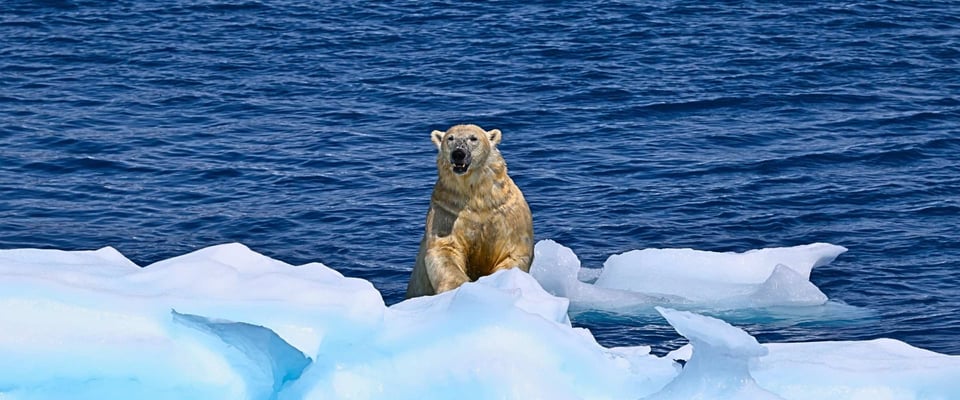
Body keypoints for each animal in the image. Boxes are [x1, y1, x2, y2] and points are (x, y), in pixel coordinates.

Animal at [405, 124, 534, 298]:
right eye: (450, 138)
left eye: (473, 138)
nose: (458, 153)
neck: (477, 199)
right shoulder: (447, 212)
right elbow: (445, 250)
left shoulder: (508, 214)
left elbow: (513, 252)